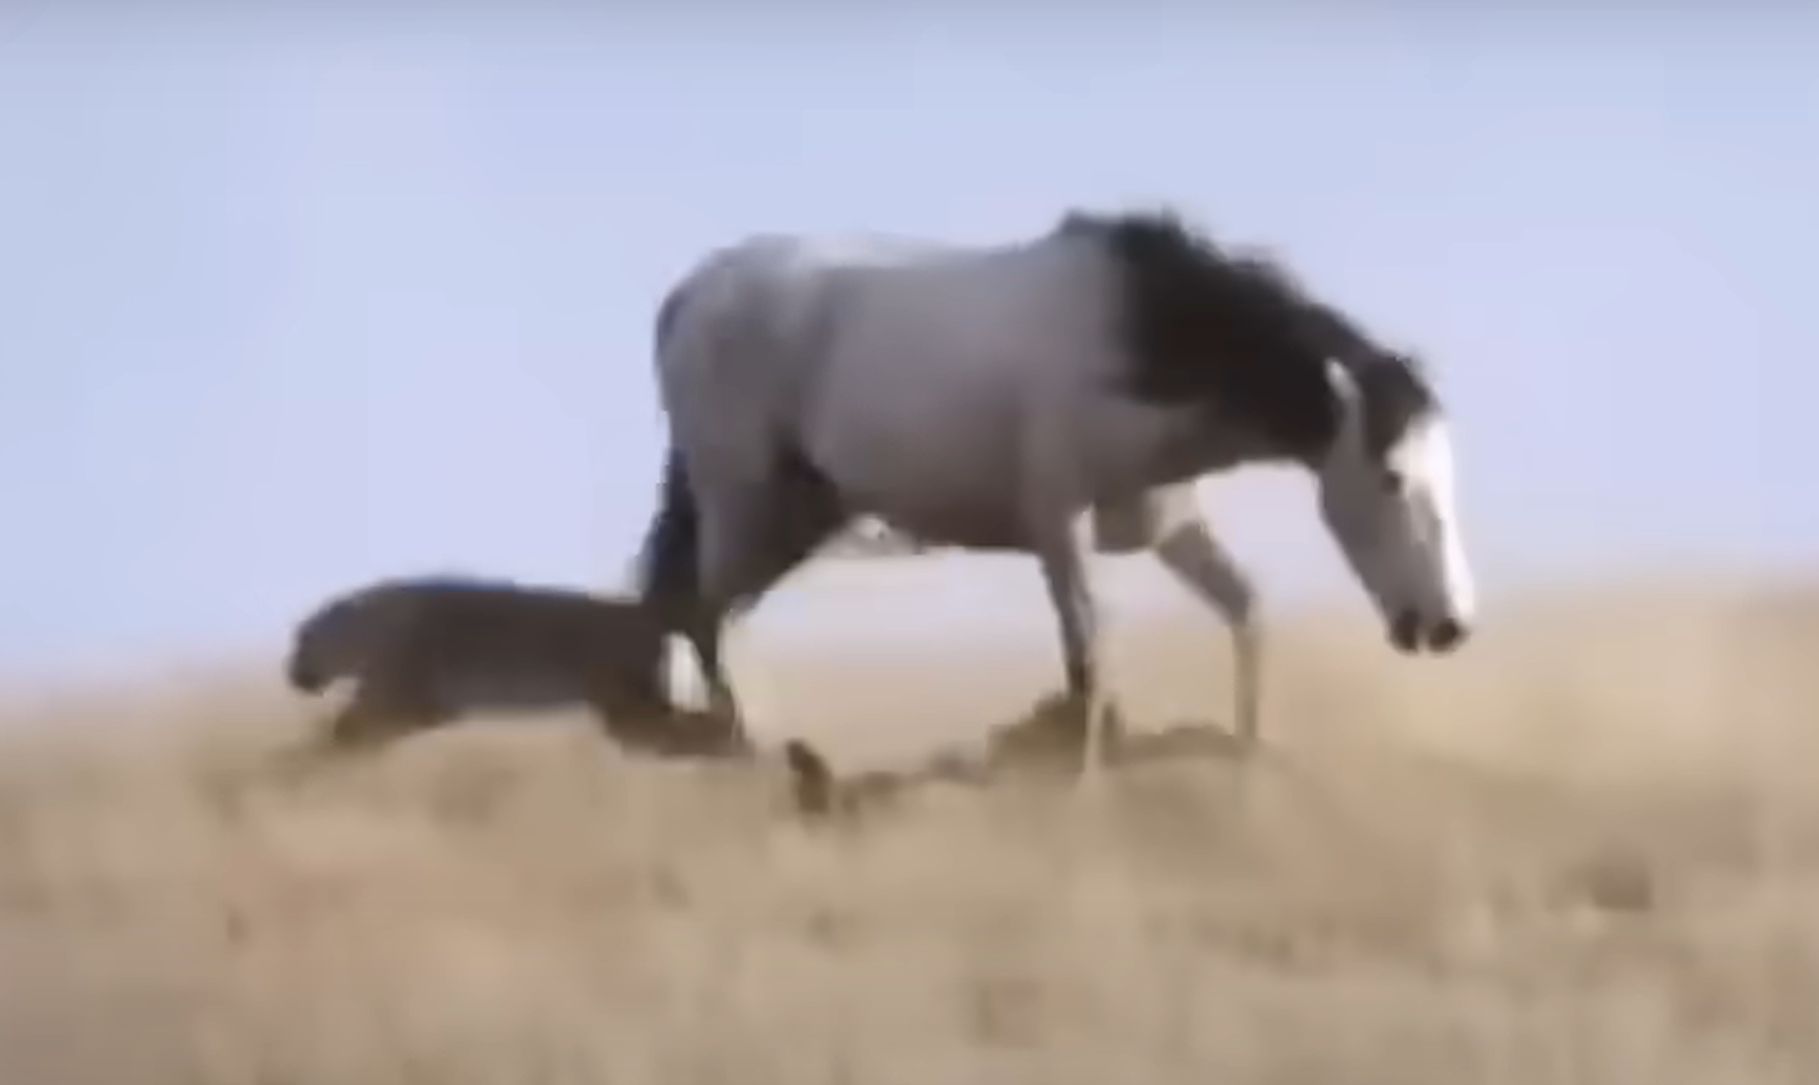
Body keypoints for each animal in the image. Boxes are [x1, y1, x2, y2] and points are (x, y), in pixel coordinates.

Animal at [633, 207, 1469, 775]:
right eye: (1391, 478)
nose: (1448, 625)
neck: (1138, 338)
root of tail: (688, 295)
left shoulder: (1168, 529)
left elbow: (1245, 612)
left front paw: (1246, 755)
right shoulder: (1058, 526)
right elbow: (1088, 656)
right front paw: (1082, 787)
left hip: (796, 515)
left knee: (707, 612)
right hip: (746, 505)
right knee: (706, 612)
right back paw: (757, 753)